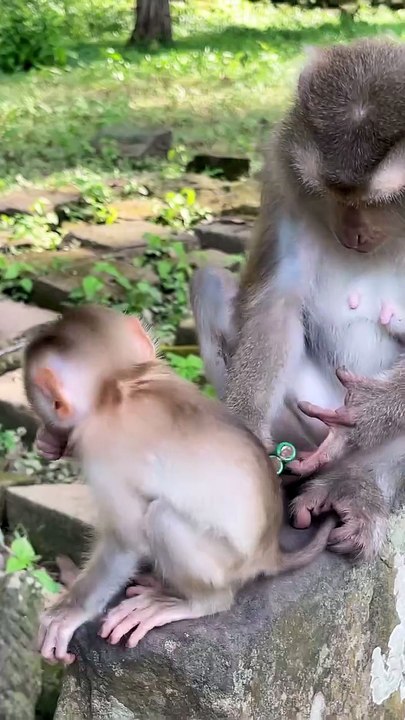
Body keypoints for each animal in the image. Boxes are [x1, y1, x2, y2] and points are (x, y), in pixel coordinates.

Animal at [24, 305, 335, 664]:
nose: (49, 423)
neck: (121, 381)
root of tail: (269, 552)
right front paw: (49, 442)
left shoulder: (104, 450)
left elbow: (126, 540)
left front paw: (68, 613)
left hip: (226, 562)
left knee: (162, 518)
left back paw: (198, 602)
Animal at [190, 38, 405, 561]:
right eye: (331, 193)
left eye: (379, 201)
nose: (353, 233)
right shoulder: (285, 173)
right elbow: (277, 302)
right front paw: (244, 432)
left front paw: (365, 414)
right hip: (305, 432)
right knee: (211, 285)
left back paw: (357, 488)